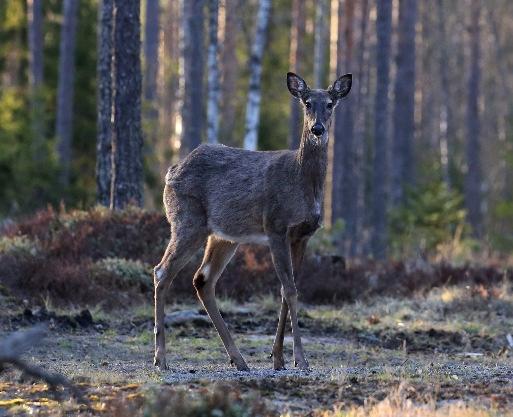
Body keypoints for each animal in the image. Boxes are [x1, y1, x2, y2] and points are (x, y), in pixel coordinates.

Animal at [153, 71, 352, 370]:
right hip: (187, 221)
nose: (317, 129)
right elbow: (290, 290)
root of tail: (171, 171)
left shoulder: (303, 235)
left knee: (203, 279)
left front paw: (278, 358)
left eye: (330, 104)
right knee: (162, 271)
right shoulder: (276, 226)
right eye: (306, 103)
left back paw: (239, 359)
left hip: (224, 235)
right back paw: (161, 358)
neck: (303, 182)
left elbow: (288, 290)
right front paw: (300, 359)